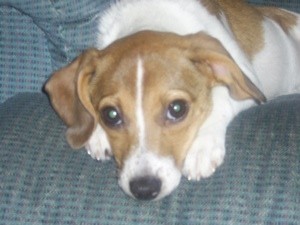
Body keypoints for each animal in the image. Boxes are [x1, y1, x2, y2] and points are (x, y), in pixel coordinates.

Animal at [44, 0, 300, 200]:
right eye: (110, 115)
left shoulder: (248, 79)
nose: (144, 189)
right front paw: (97, 133)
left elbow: (219, 97)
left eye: (177, 109)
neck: (151, 18)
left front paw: (202, 147)